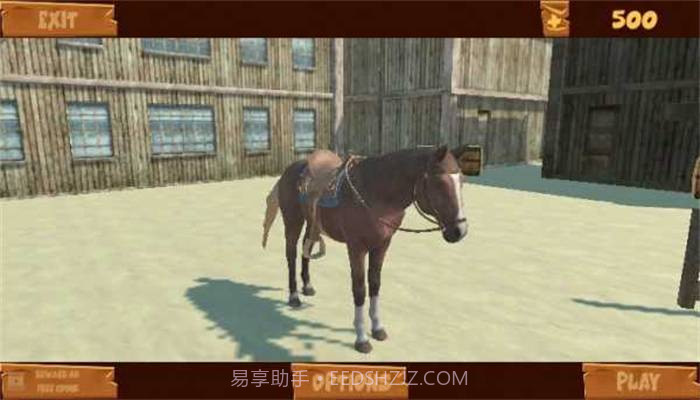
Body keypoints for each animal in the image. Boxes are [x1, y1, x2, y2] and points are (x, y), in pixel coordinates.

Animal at [261, 145, 468, 353]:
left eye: (462, 181)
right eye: (439, 183)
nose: (460, 231)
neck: (376, 192)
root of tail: (290, 170)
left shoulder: (382, 245)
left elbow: (375, 284)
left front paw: (377, 329)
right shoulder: (356, 247)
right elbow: (359, 289)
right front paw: (361, 339)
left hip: (313, 223)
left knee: (307, 248)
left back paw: (308, 287)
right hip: (293, 221)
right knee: (291, 254)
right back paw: (294, 297)